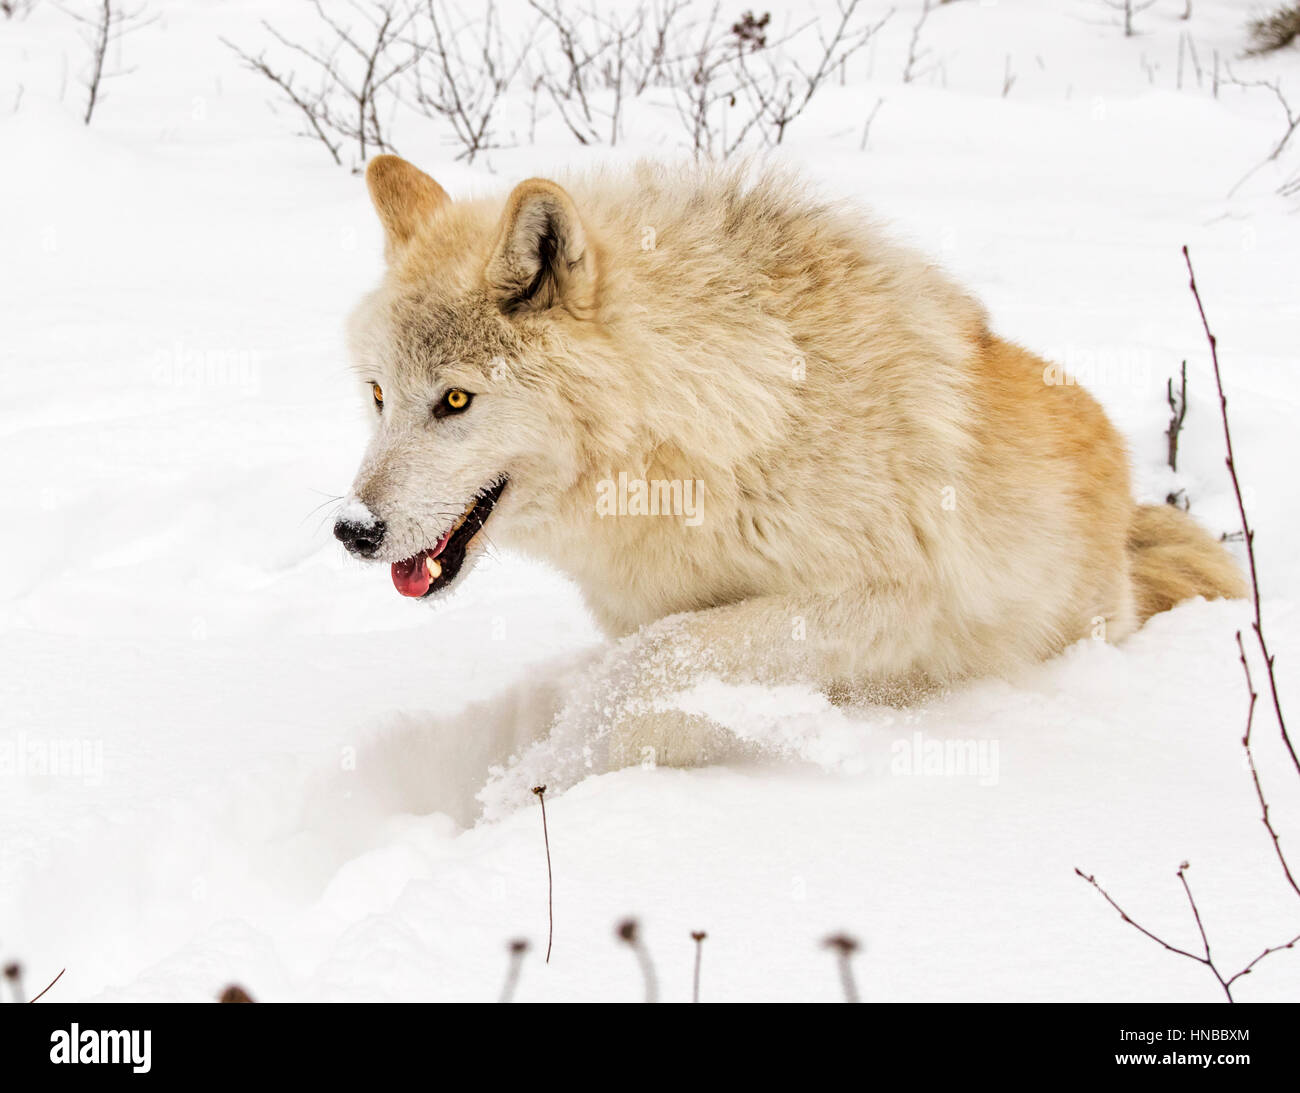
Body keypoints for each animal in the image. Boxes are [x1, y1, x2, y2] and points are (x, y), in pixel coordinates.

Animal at [335, 155, 1244, 772]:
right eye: (378, 395)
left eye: (454, 400)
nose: (353, 529)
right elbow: (653, 672)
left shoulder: (881, 599)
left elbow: (652, 666)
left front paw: (541, 792)